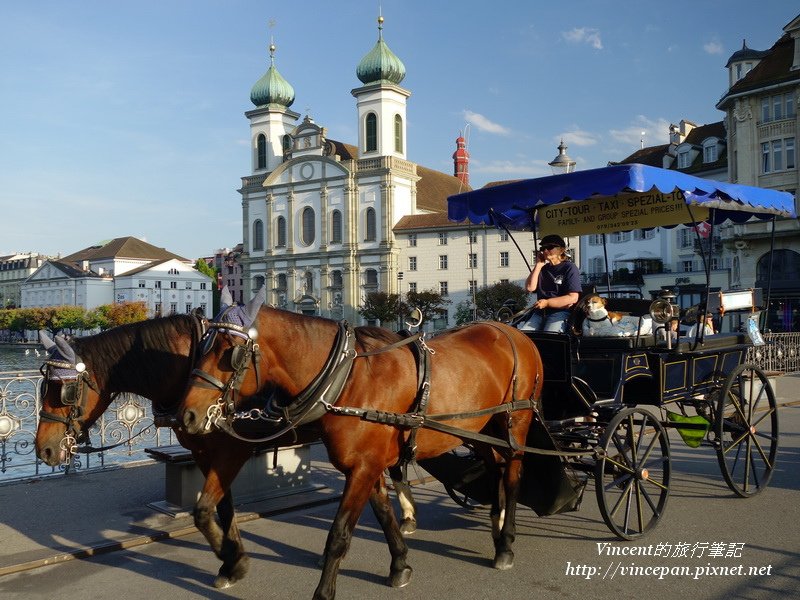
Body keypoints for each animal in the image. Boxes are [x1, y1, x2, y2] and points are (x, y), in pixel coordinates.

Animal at [34, 314, 416, 592]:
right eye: (43, 388)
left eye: (64, 391)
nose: (44, 449)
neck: (186, 365)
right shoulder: (205, 453)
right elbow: (222, 509)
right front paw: (231, 561)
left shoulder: (231, 451)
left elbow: (204, 511)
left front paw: (235, 561)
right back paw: (397, 553)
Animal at [179, 296, 544, 600]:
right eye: (203, 344)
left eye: (229, 352)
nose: (188, 415)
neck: (346, 377)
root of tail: (511, 330)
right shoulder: (366, 466)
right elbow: (383, 515)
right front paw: (400, 565)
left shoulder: (364, 468)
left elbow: (339, 534)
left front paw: (324, 593)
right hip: (480, 429)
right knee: (495, 466)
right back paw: (496, 524)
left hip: (516, 422)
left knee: (513, 474)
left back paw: (505, 544)